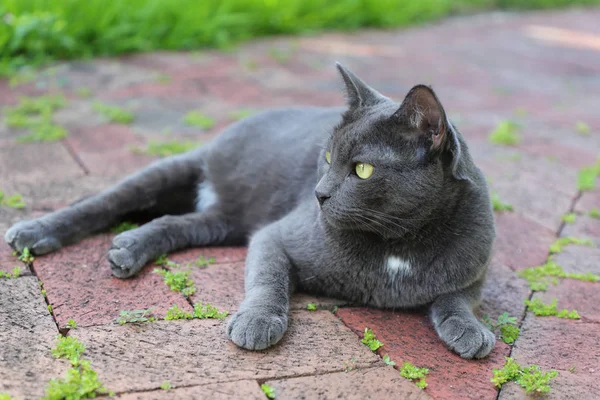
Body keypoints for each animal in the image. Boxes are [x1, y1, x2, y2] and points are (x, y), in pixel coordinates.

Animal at [4, 63, 494, 360]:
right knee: (102, 202)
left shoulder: (472, 273)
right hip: (173, 176)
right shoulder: (275, 236)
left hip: (224, 221)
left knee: (176, 223)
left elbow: (456, 299)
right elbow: (268, 280)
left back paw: (128, 247)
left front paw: (470, 331)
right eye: (327, 156)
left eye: (362, 169)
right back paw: (33, 232)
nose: (318, 194)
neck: (397, 242)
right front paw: (257, 322)